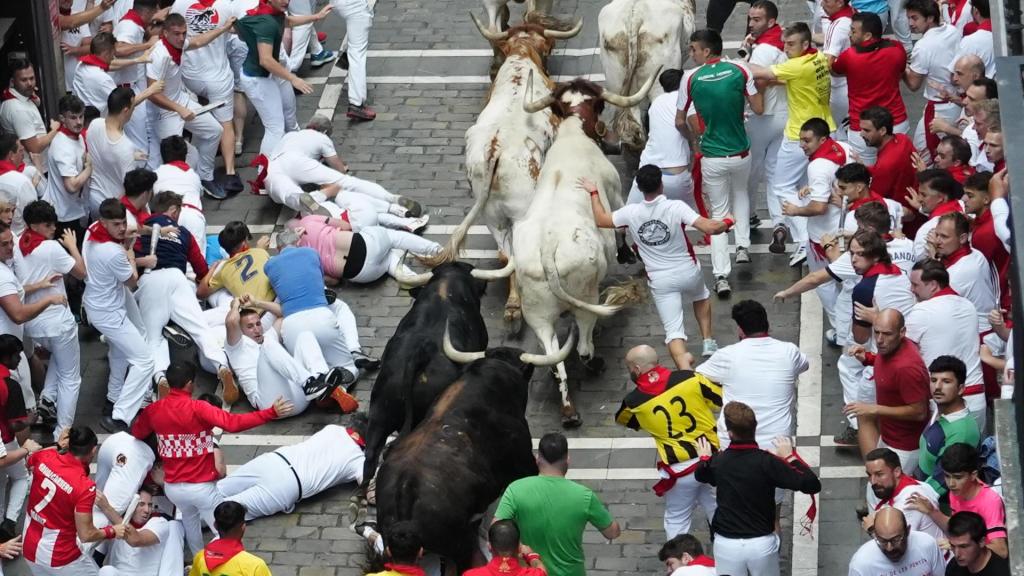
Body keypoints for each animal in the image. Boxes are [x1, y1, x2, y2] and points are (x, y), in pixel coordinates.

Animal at [425, 15, 585, 325]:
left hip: (492, 216)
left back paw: (512, 308)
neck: (521, 55)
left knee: (504, 255)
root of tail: (495, 151)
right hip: (519, 210)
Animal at [516, 69, 659, 424]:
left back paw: (569, 410)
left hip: (537, 313)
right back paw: (594, 365)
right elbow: (620, 226)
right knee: (582, 347)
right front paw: (626, 252)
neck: (572, 135)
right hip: (586, 299)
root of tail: (547, 247)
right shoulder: (617, 194)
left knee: (554, 359)